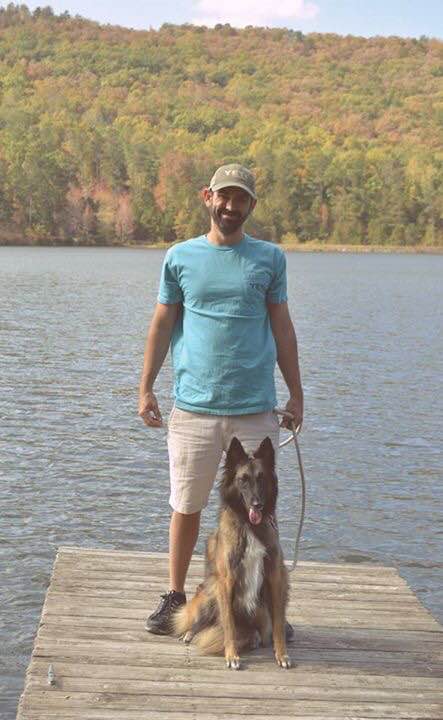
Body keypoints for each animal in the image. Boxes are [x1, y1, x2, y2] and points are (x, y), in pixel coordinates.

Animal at [174, 435, 291, 670]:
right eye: (243, 479)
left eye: (261, 479)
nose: (257, 504)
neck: (249, 524)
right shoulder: (226, 581)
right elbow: (228, 623)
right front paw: (232, 655)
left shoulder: (276, 578)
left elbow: (278, 625)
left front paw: (281, 654)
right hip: (210, 592)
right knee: (201, 622)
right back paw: (190, 634)